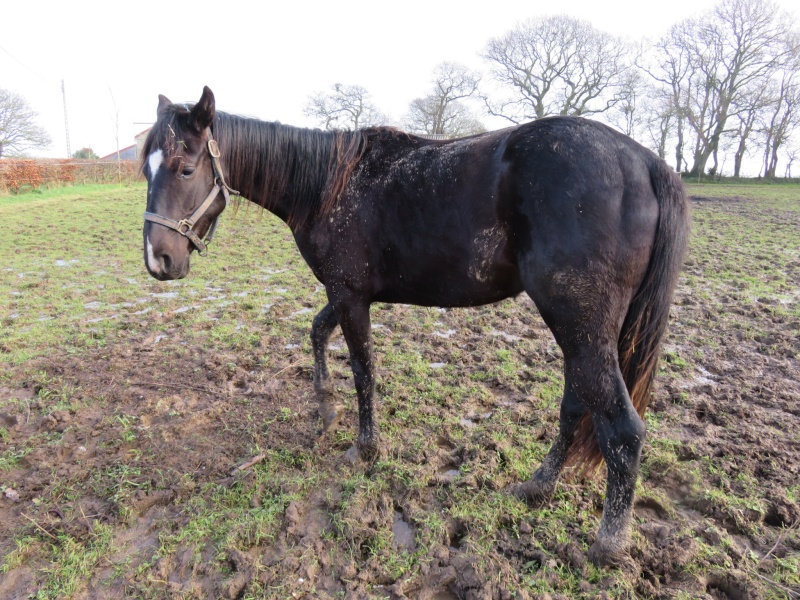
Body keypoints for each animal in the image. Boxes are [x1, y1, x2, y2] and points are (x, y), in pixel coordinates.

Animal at [141, 85, 692, 568]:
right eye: (145, 168)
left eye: (185, 167)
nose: (158, 260)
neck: (328, 185)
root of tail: (646, 163)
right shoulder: (345, 294)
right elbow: (318, 332)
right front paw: (324, 402)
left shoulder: (349, 295)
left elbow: (363, 369)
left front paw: (364, 447)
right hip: (582, 331)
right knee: (577, 404)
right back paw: (537, 485)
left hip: (579, 324)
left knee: (621, 428)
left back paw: (608, 544)